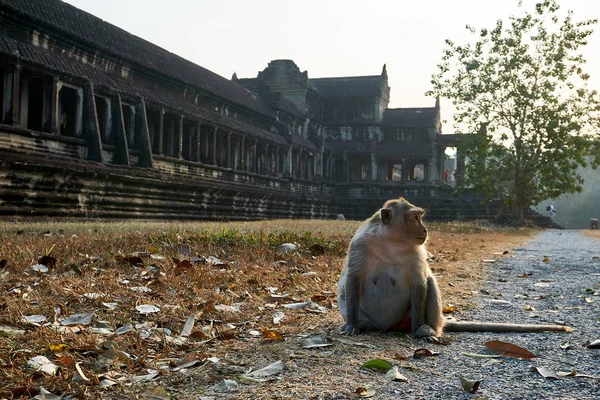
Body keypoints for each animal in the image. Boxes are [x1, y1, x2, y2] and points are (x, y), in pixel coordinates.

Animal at [338, 197, 572, 340]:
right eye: (415, 218)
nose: (425, 228)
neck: (390, 244)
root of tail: (387, 327)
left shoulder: (417, 253)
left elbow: (419, 285)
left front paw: (419, 329)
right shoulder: (360, 245)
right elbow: (352, 281)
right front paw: (352, 325)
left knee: (429, 283)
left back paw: (427, 329)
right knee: (343, 293)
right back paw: (365, 325)